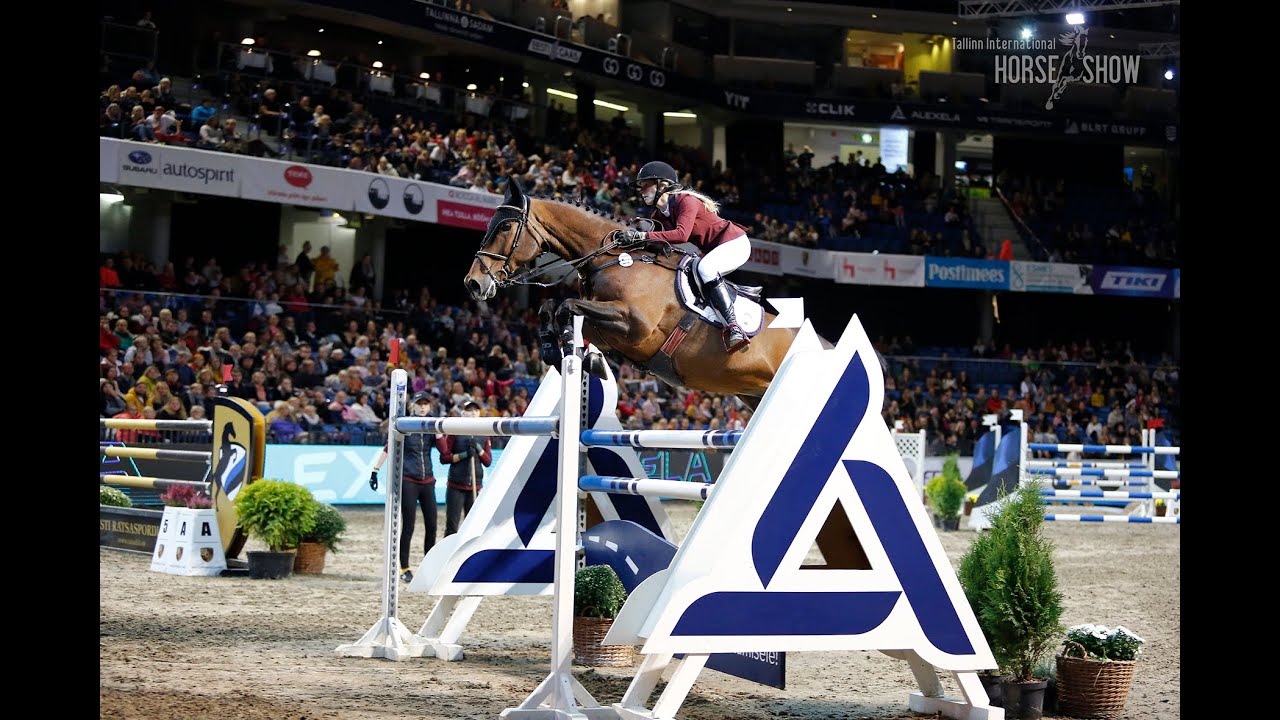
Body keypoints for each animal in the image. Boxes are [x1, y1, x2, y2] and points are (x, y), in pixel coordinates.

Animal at [463, 179, 806, 406]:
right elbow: (552, 307)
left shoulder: (635, 324)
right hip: (751, 395)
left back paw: (736, 334)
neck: (614, 257)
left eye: (505, 227)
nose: (473, 283)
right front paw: (564, 352)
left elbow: (566, 305)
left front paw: (575, 352)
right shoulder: (610, 330)